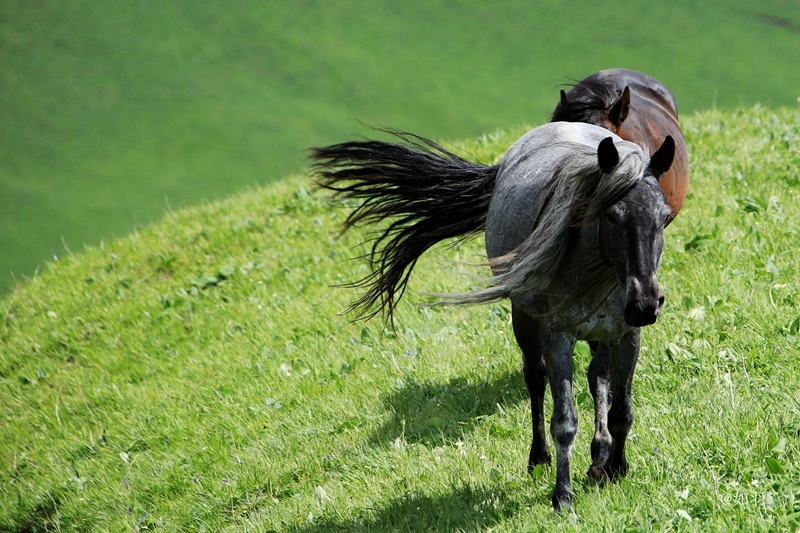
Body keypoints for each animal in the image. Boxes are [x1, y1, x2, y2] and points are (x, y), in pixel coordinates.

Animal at [310, 121, 672, 512]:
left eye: (665, 217)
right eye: (611, 215)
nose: (645, 304)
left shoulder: (626, 336)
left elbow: (622, 412)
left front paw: (616, 468)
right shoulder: (557, 334)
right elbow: (564, 421)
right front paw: (563, 495)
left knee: (597, 379)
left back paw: (598, 456)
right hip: (524, 321)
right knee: (536, 380)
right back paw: (539, 457)